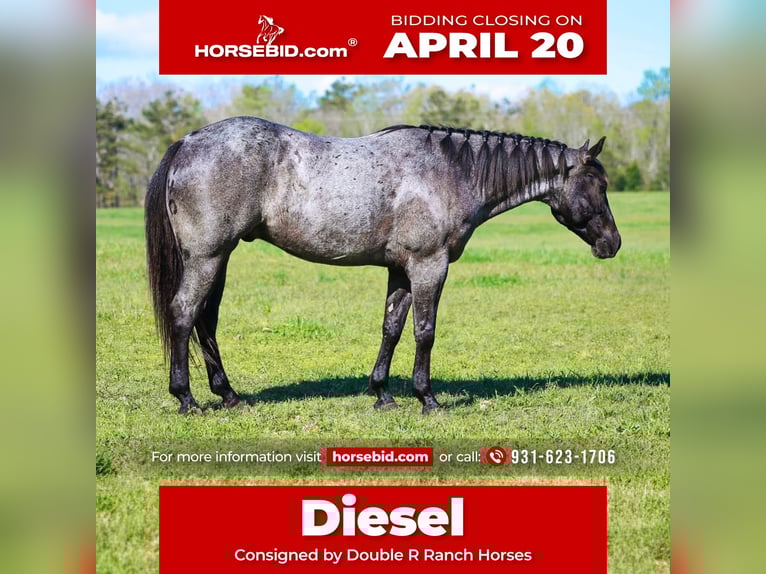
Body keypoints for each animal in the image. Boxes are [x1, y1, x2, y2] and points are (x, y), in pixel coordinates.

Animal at [145, 117, 621, 414]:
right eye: (599, 185)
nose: (613, 243)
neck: (450, 172)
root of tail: (188, 142)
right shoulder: (430, 266)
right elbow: (425, 332)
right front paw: (427, 398)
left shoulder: (401, 270)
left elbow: (391, 327)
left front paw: (382, 394)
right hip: (207, 257)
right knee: (185, 314)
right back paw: (186, 399)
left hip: (219, 258)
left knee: (206, 320)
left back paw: (228, 395)